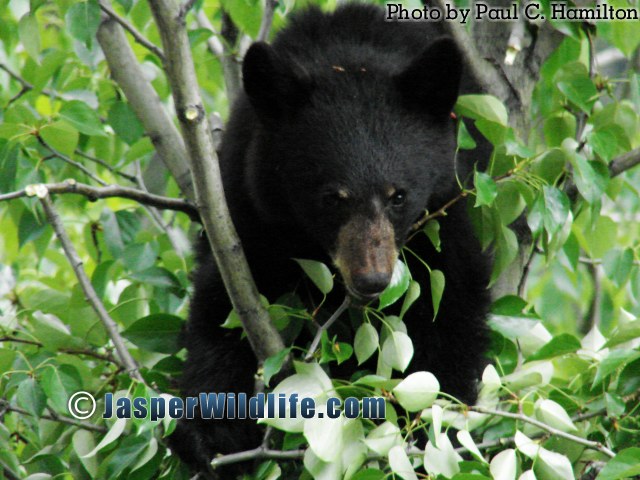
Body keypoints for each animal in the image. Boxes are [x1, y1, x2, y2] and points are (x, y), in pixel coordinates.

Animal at [172, 3, 492, 474]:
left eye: (399, 196)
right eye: (332, 198)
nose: (372, 280)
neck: (350, 60)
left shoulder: (450, 214)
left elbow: (449, 317)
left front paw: (431, 429)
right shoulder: (249, 214)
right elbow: (225, 305)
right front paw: (209, 434)